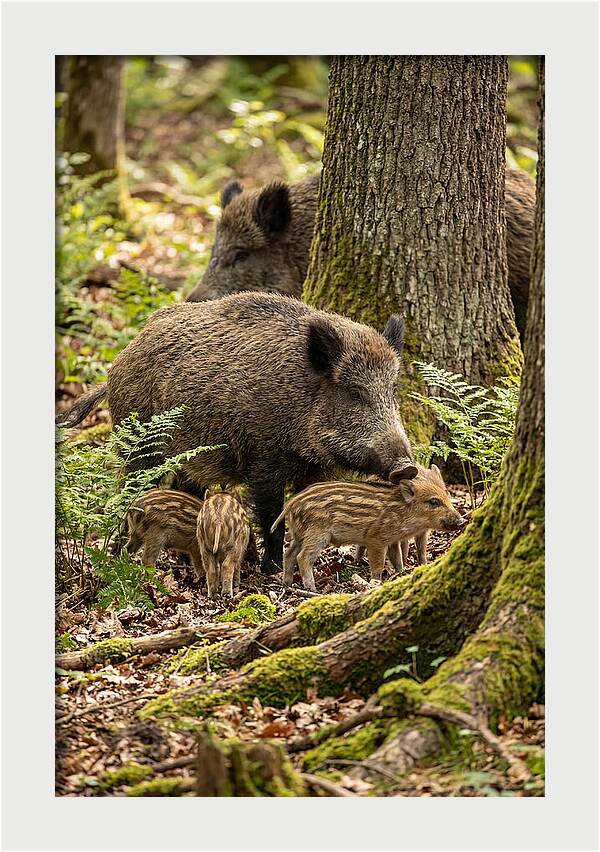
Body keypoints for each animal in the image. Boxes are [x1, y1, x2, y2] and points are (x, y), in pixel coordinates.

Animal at [55, 292, 416, 576]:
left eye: (392, 390)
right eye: (354, 393)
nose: (407, 467)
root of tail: (120, 359)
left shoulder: (318, 470)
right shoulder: (264, 461)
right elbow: (272, 518)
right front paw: (271, 570)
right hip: (140, 443)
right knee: (128, 491)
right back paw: (119, 555)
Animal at [271, 472, 467, 591]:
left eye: (447, 496)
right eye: (433, 502)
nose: (462, 521)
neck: (402, 512)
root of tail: (292, 503)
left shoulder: (392, 540)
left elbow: (397, 559)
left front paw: (401, 572)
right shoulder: (376, 540)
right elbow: (378, 564)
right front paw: (376, 582)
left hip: (299, 534)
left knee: (289, 554)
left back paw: (287, 583)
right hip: (316, 534)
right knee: (303, 557)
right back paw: (311, 588)